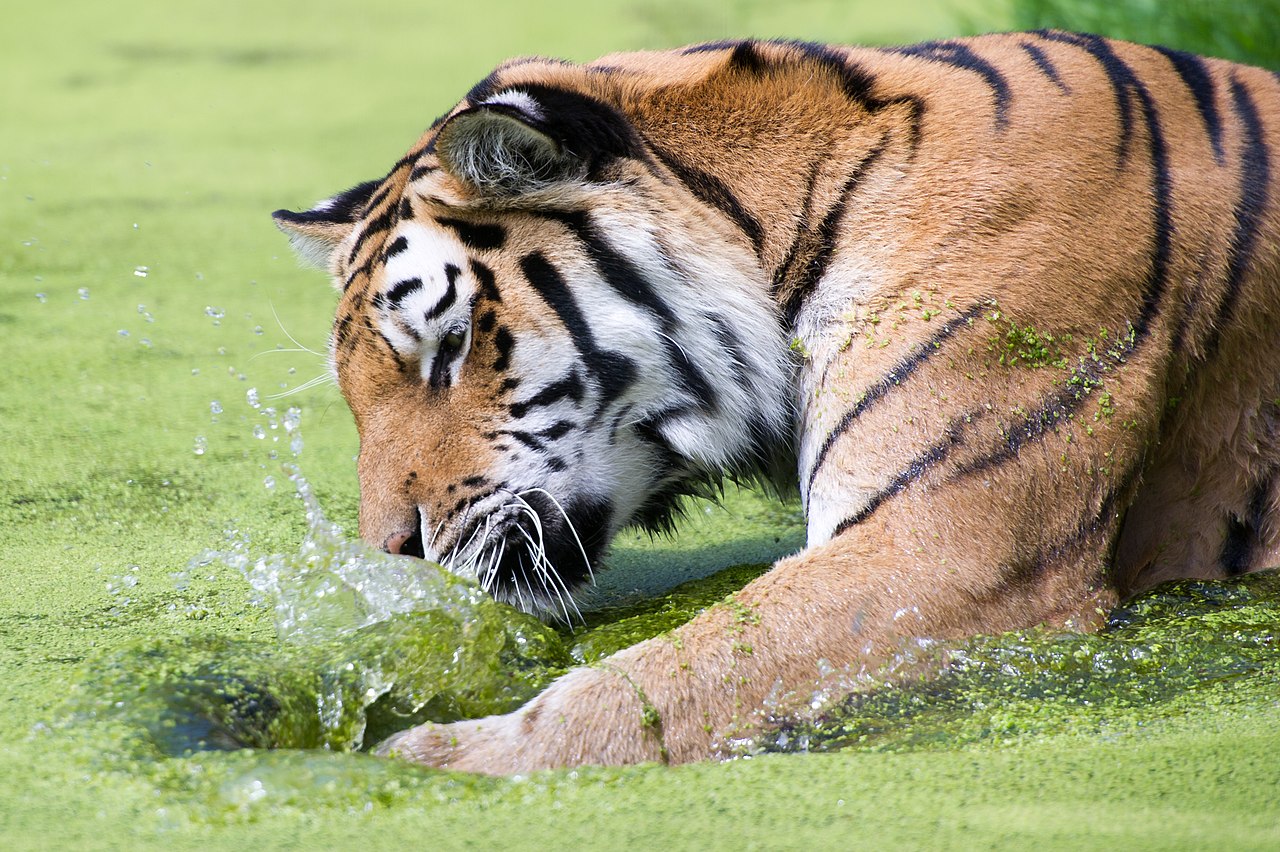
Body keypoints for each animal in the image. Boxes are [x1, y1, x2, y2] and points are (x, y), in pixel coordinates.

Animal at [273, 32, 1280, 774]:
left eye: (448, 350)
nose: (392, 553)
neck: (784, 222)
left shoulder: (952, 546)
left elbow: (671, 677)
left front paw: (432, 764)